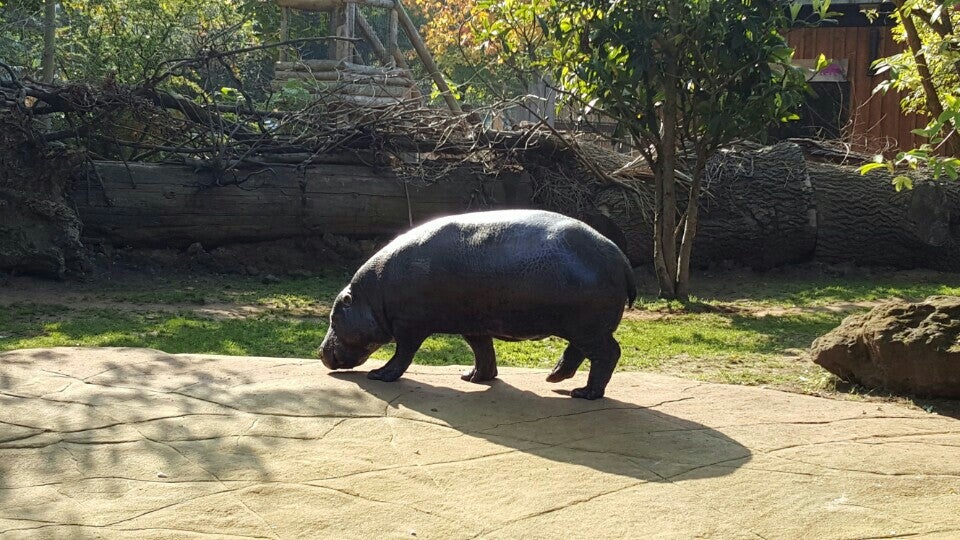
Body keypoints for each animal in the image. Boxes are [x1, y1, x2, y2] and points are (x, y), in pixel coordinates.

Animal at [320, 209, 636, 398]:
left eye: (334, 317)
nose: (320, 351)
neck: (371, 297)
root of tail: (621, 257)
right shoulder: (473, 324)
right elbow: (482, 351)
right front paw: (472, 378)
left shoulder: (409, 326)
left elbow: (402, 355)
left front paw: (379, 375)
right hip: (582, 327)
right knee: (578, 352)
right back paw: (554, 379)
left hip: (587, 327)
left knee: (608, 353)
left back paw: (583, 393)